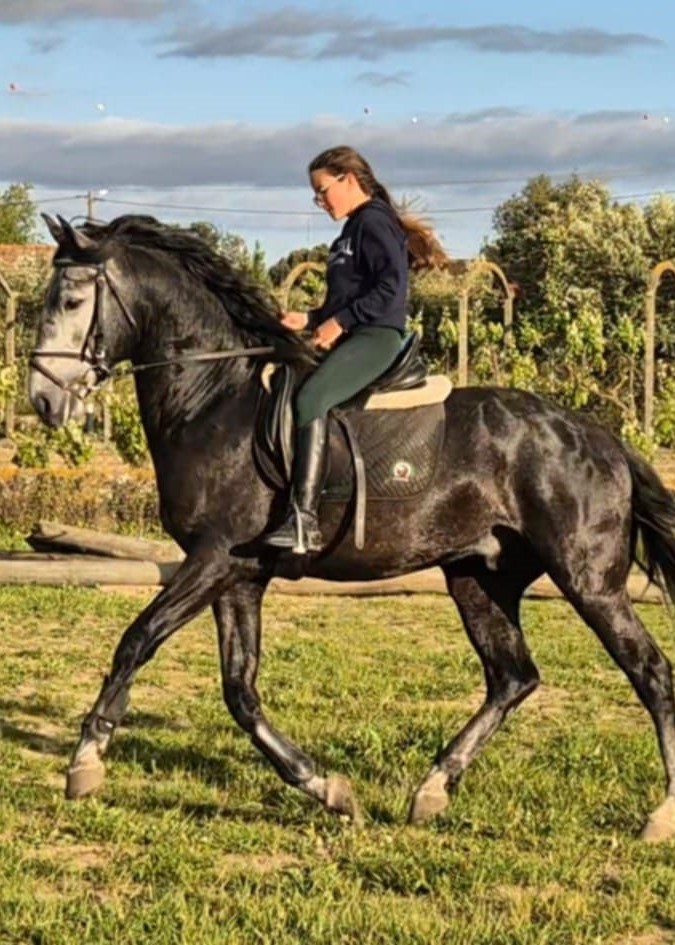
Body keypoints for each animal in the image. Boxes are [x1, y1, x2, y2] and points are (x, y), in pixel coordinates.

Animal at [29, 212, 675, 841]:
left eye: (70, 300)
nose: (41, 401)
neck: (214, 399)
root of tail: (601, 438)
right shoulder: (240, 575)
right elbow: (240, 690)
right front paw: (326, 788)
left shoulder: (214, 558)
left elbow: (137, 639)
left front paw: (85, 761)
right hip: (479, 577)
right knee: (513, 677)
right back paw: (432, 789)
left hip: (588, 582)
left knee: (651, 673)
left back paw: (660, 815)